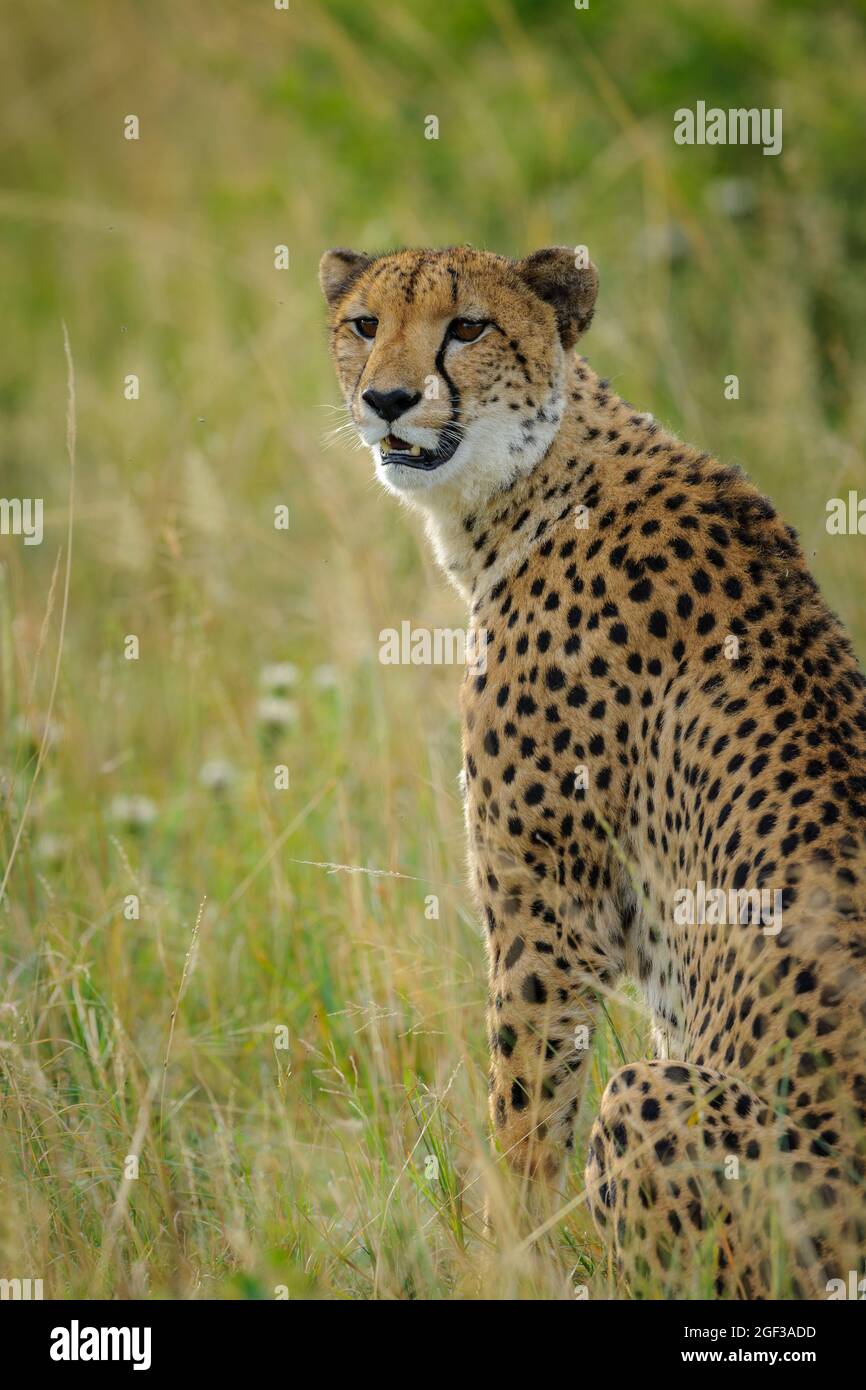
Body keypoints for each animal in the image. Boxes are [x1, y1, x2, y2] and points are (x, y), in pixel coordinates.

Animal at [318, 244, 866, 1295]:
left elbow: (525, 1118)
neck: (538, 479)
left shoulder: (550, 920)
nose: (390, 400)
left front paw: (504, 1259)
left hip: (656, 1098)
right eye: (365, 324)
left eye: (468, 327)